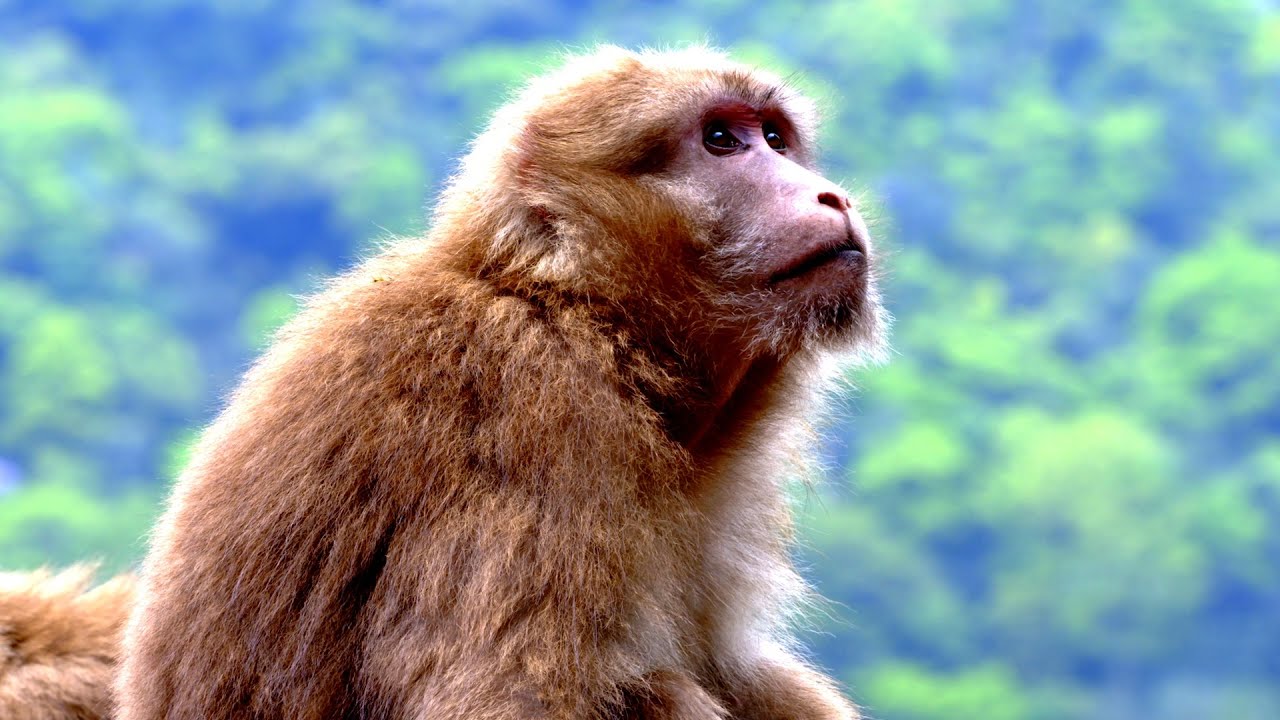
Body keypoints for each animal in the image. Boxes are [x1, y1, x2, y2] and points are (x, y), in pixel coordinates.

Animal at [113, 45, 886, 720]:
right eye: (722, 140)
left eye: (776, 139)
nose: (830, 196)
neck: (581, 312)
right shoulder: (541, 411)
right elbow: (503, 693)